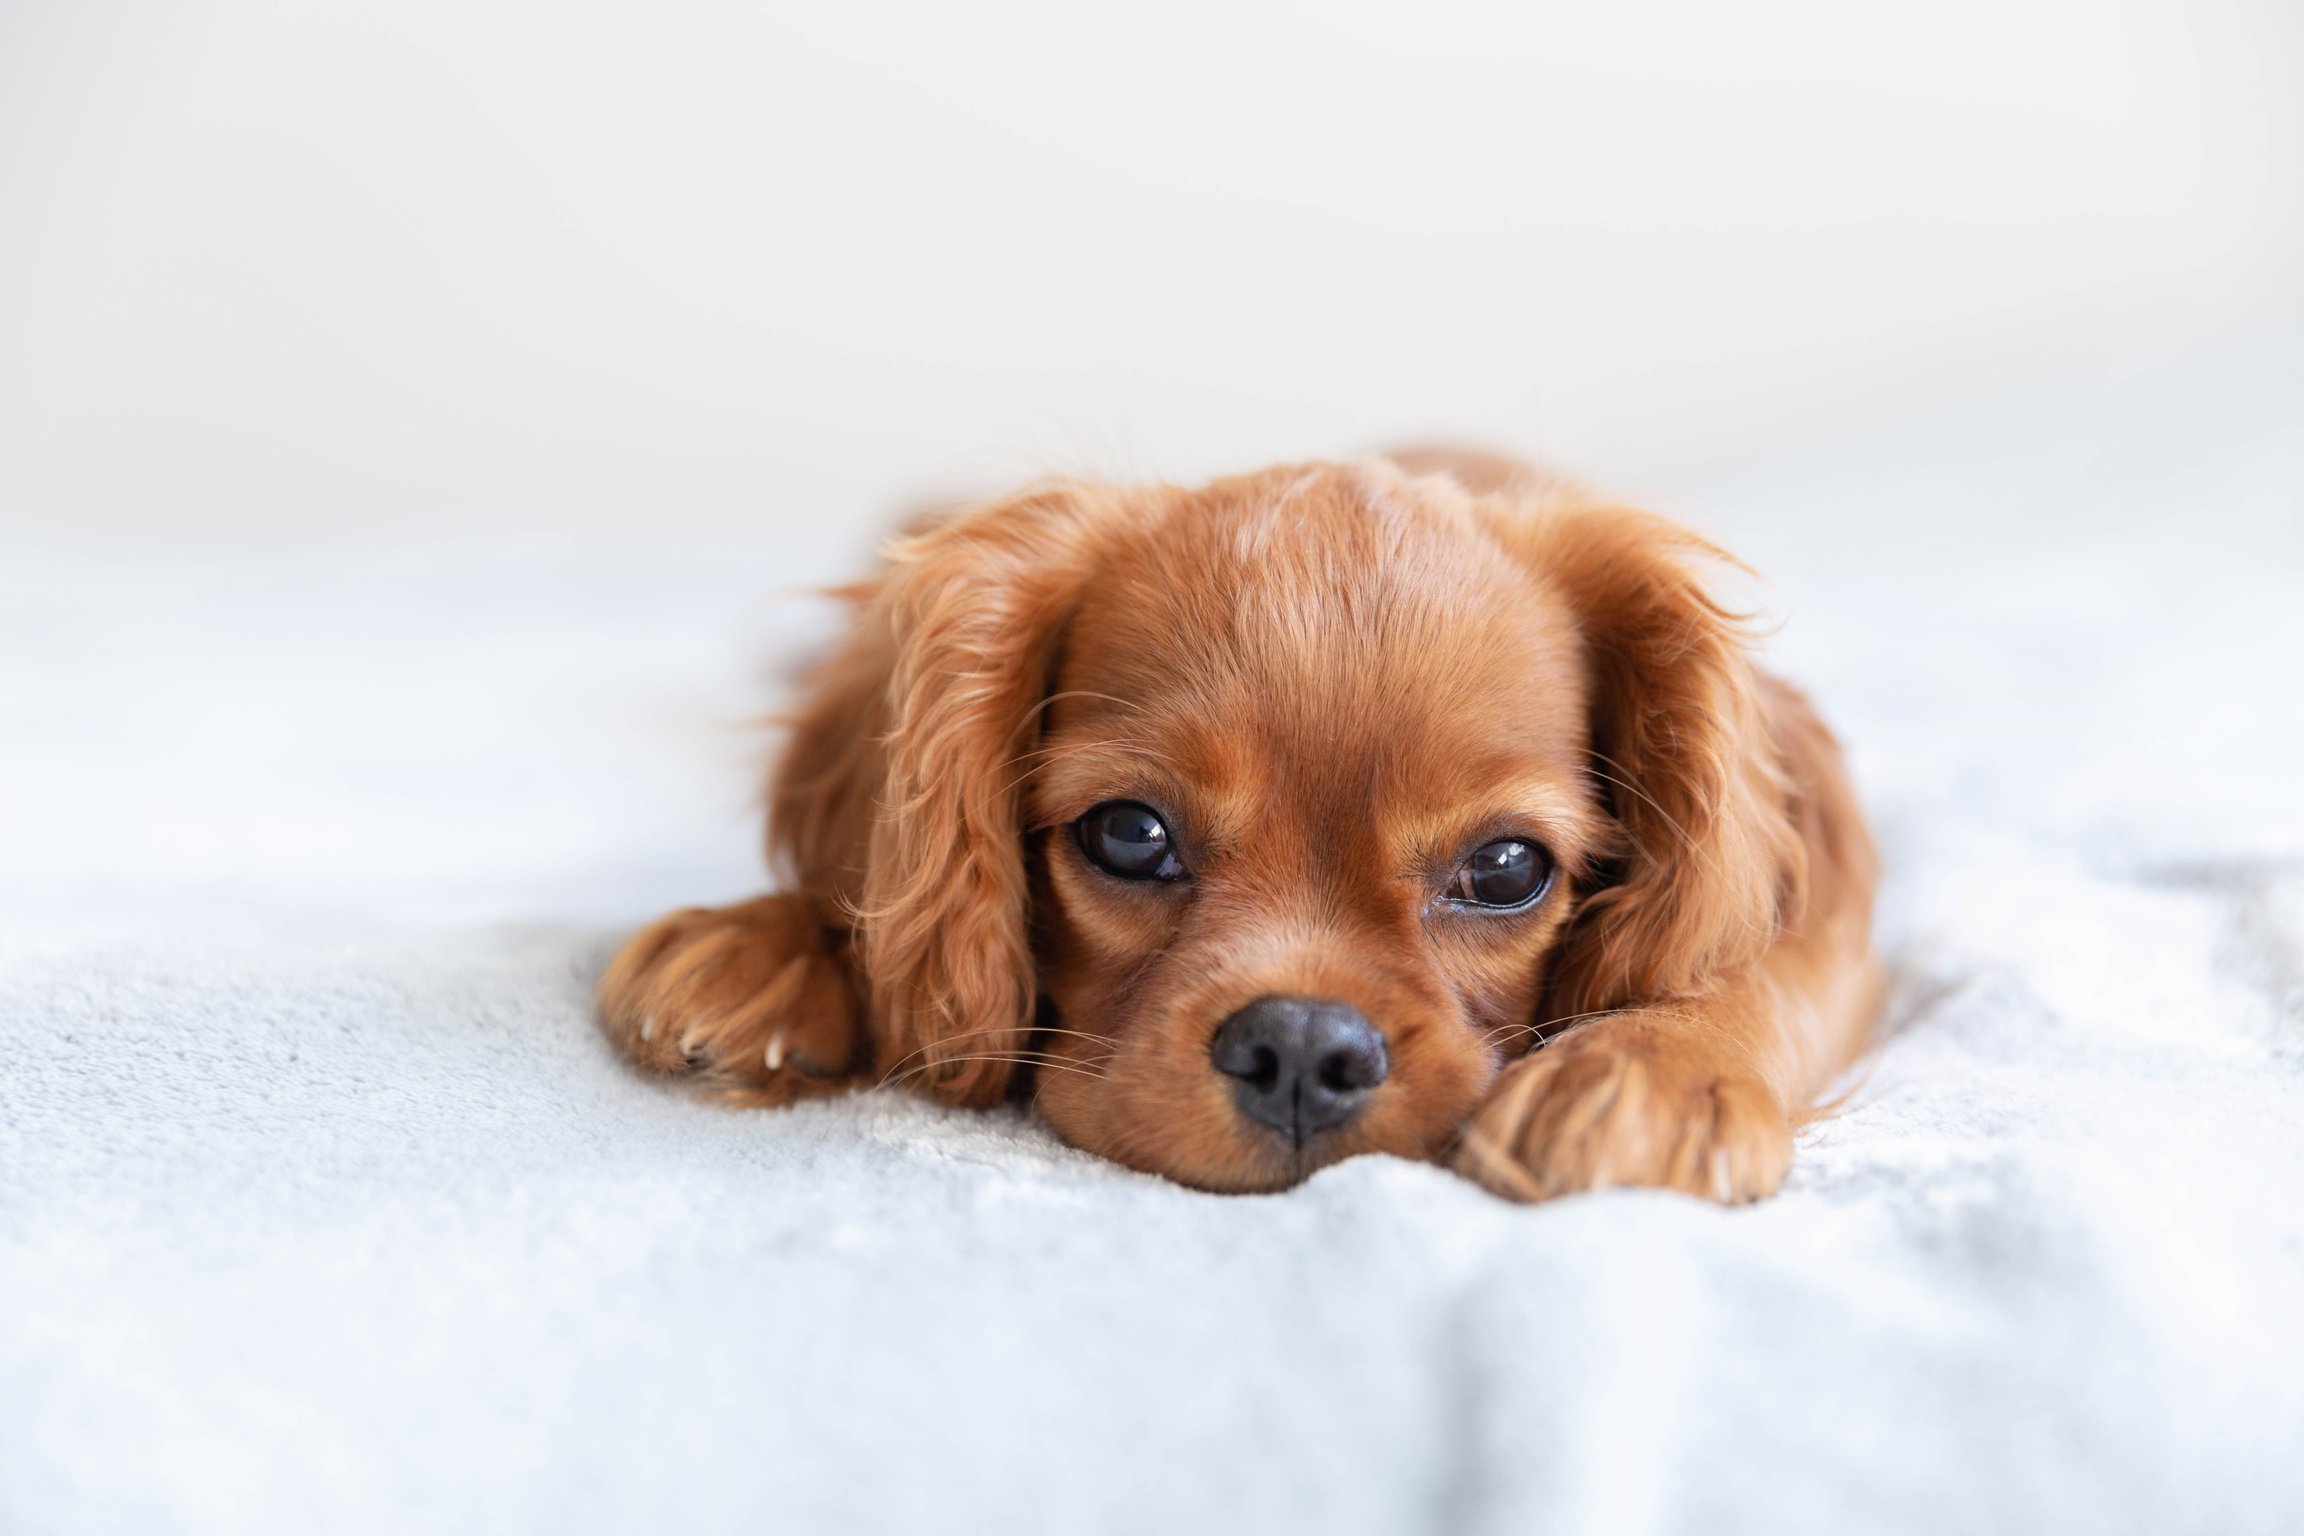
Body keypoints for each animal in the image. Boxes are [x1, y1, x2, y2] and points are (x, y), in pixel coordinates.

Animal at [603, 451, 1880, 1206]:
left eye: (1507, 866)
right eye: (1129, 834)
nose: (1303, 1051)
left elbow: (1759, 969)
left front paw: (1652, 1074)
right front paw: (768, 944)